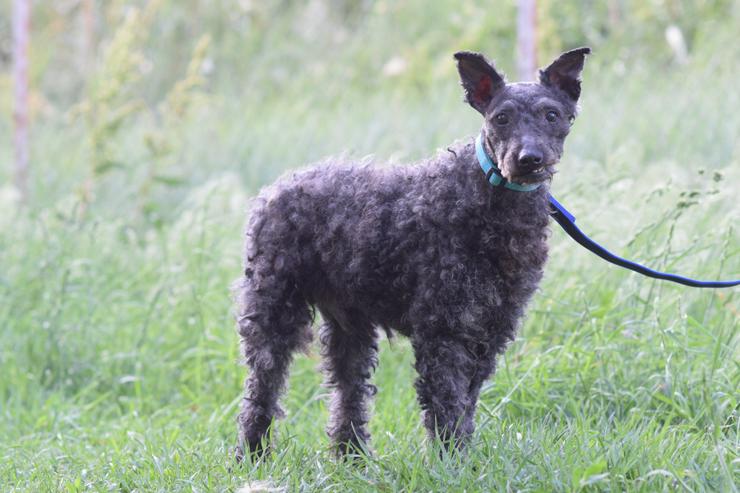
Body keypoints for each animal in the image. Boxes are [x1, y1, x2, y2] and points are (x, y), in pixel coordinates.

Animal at [234, 48, 592, 460]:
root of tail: (275, 189)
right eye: (501, 118)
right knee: (262, 389)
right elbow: (446, 400)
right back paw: (253, 455)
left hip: (350, 325)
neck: (487, 197)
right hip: (273, 311)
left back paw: (352, 457)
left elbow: (466, 401)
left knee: (348, 391)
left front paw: (462, 457)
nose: (529, 158)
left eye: (552, 115)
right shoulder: (443, 328)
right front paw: (451, 461)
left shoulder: (491, 329)